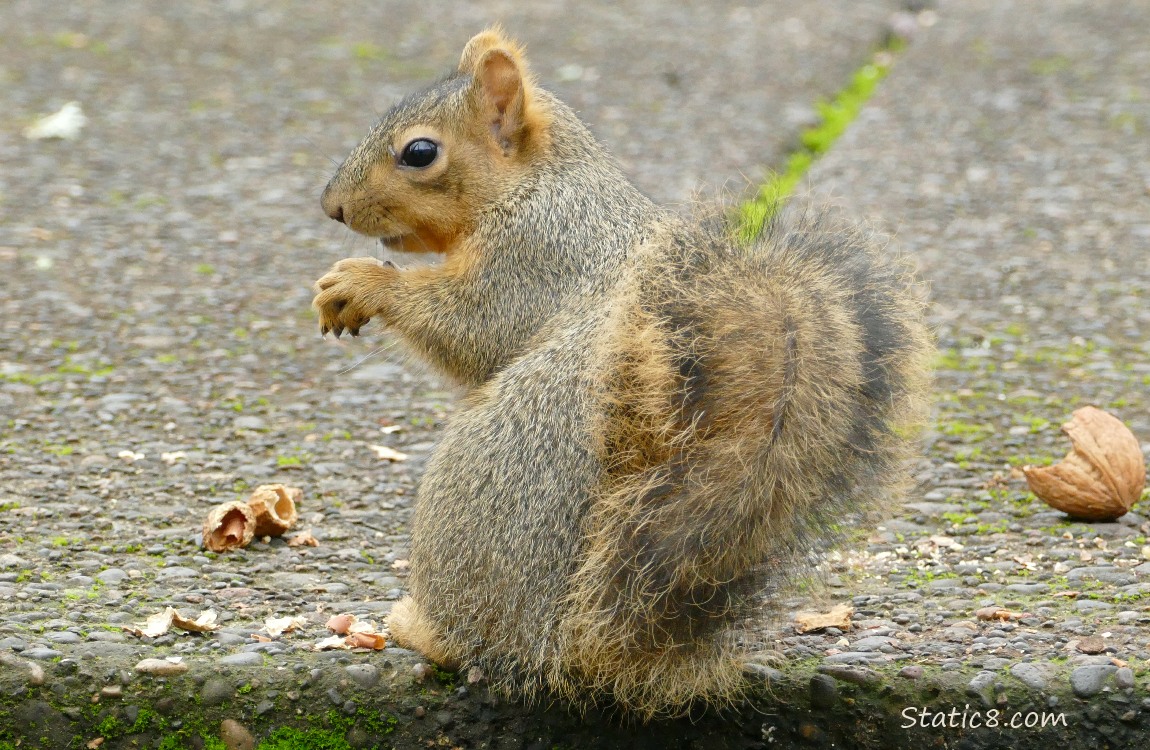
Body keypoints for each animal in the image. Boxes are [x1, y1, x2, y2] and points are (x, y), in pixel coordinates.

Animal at [315, 27, 933, 722]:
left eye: (419, 152)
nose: (332, 207)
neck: (538, 184)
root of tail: (569, 645)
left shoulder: (537, 255)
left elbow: (473, 328)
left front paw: (361, 284)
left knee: (471, 640)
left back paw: (417, 627)